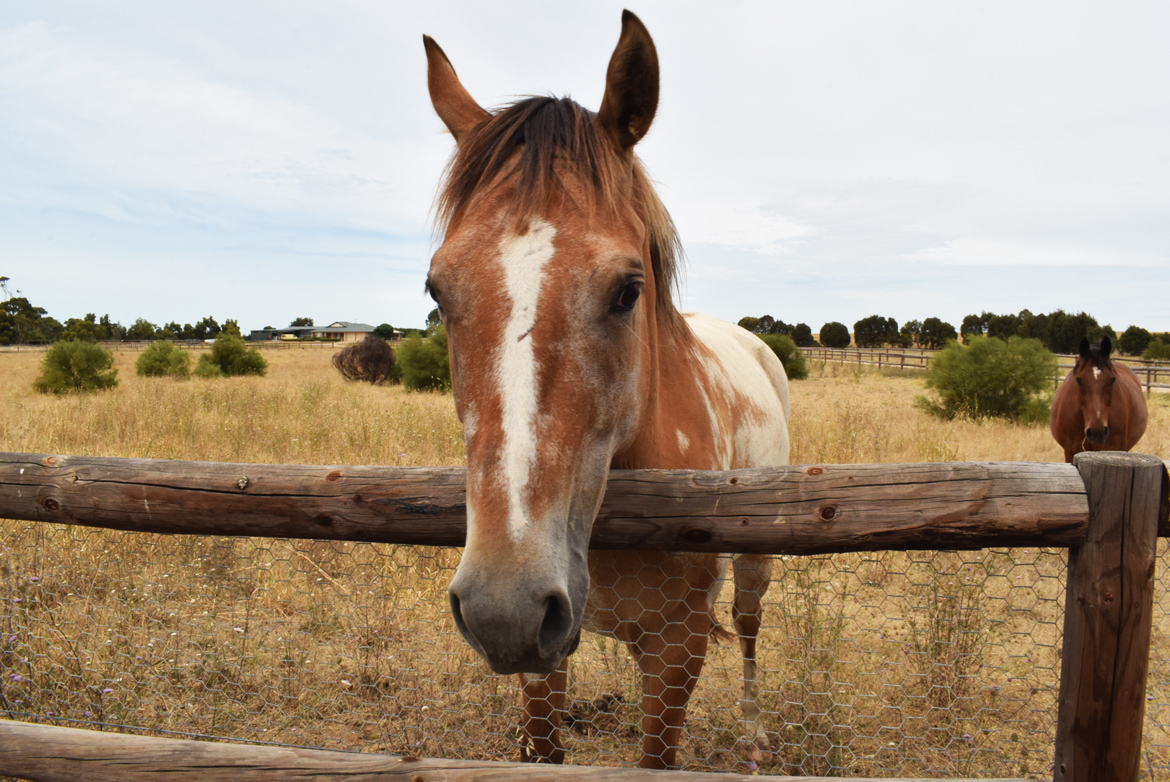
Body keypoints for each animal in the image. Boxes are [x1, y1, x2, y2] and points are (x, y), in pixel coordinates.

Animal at [416, 10, 790, 767]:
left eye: (626, 291)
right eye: (437, 291)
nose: (503, 605)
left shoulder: (676, 650)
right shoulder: (542, 655)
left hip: (755, 564)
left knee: (750, 628)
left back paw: (752, 729)